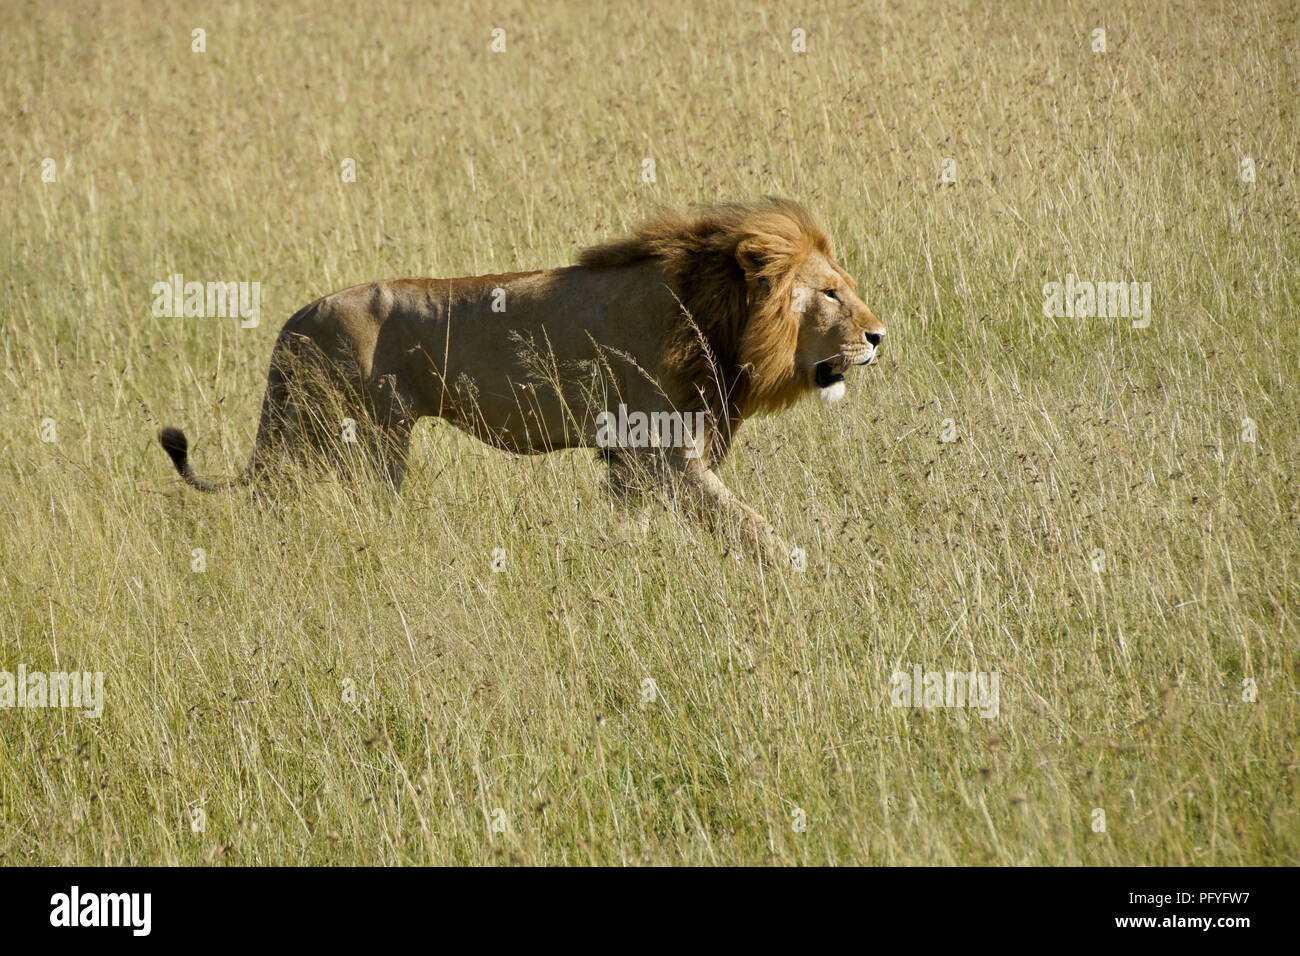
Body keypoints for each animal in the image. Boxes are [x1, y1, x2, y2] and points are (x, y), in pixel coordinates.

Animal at [159, 198, 886, 556]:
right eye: (830, 294)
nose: (879, 337)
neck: (714, 311)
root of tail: (298, 318)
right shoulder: (666, 452)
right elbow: (751, 526)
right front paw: (809, 571)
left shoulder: (630, 459)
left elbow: (635, 526)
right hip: (363, 439)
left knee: (271, 496)